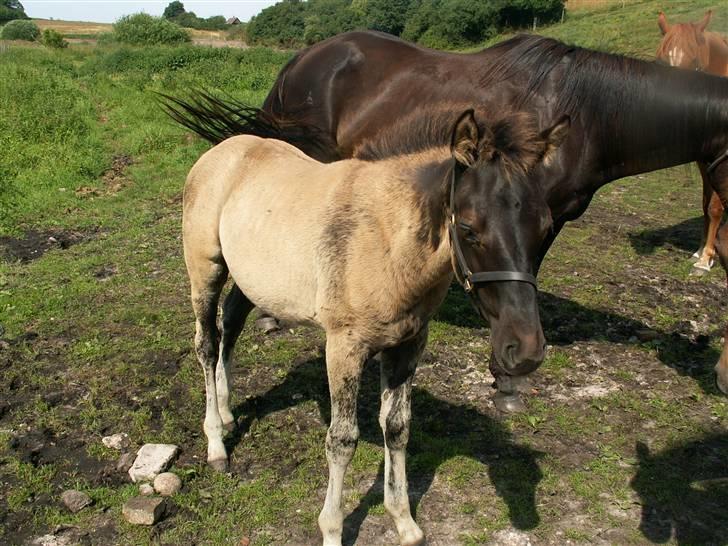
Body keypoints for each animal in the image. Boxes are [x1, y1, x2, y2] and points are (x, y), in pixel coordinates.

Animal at [182, 108, 568, 540]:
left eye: (546, 227)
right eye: (469, 229)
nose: (525, 350)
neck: (386, 242)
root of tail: (223, 150)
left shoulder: (409, 342)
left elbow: (397, 427)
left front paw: (405, 523)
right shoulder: (344, 347)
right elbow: (342, 439)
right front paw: (332, 530)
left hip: (254, 277)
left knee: (231, 321)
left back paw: (228, 409)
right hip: (205, 269)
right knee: (207, 342)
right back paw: (216, 442)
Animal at [656, 8, 728, 272]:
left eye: (696, 64)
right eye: (662, 61)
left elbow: (716, 206)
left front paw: (706, 259)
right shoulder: (704, 162)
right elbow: (706, 204)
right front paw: (700, 251)